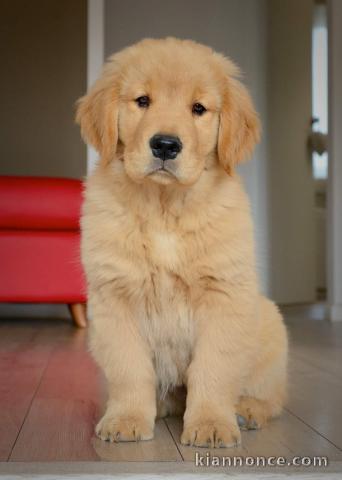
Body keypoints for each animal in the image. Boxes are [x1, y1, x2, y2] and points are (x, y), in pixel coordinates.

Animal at [76, 38, 288, 450]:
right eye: (142, 101)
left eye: (199, 109)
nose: (165, 145)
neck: (164, 209)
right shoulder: (115, 299)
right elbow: (129, 368)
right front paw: (126, 418)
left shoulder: (223, 296)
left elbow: (214, 368)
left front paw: (211, 424)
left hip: (270, 324)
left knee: (272, 398)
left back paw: (247, 410)